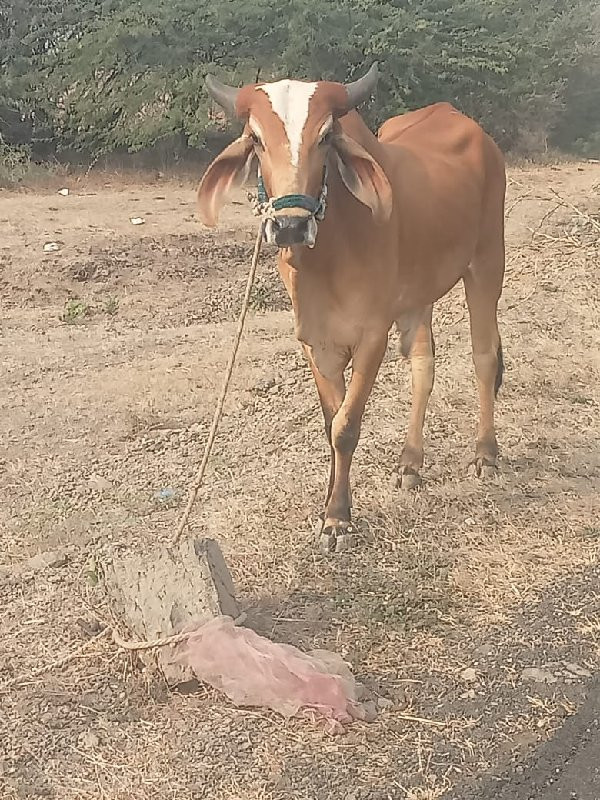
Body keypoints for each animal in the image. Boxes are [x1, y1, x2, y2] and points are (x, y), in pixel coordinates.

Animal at [198, 65, 506, 552]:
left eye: (326, 136)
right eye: (256, 139)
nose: (289, 226)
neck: (326, 258)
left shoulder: (372, 335)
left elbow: (346, 426)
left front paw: (338, 520)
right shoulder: (314, 340)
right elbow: (332, 421)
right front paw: (330, 504)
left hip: (487, 261)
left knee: (484, 356)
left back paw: (486, 455)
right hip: (418, 293)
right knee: (424, 367)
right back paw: (410, 462)